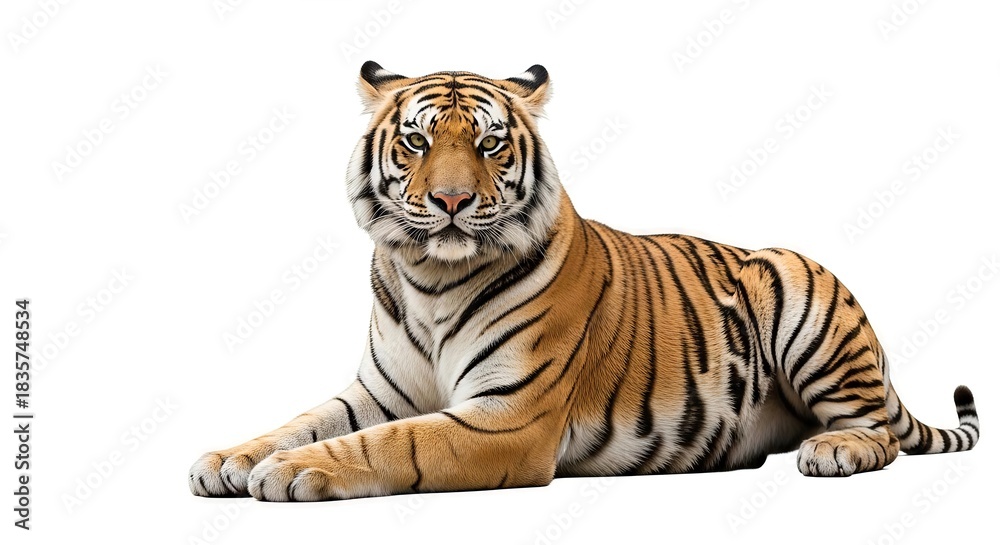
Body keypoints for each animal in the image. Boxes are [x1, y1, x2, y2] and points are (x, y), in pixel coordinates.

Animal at [189, 62, 980, 502]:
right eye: (416, 141)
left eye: (489, 143)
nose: (451, 200)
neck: (429, 277)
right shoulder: (378, 392)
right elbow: (303, 419)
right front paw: (228, 459)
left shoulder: (508, 416)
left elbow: (394, 444)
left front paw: (289, 471)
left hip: (796, 289)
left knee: (878, 433)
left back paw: (835, 451)